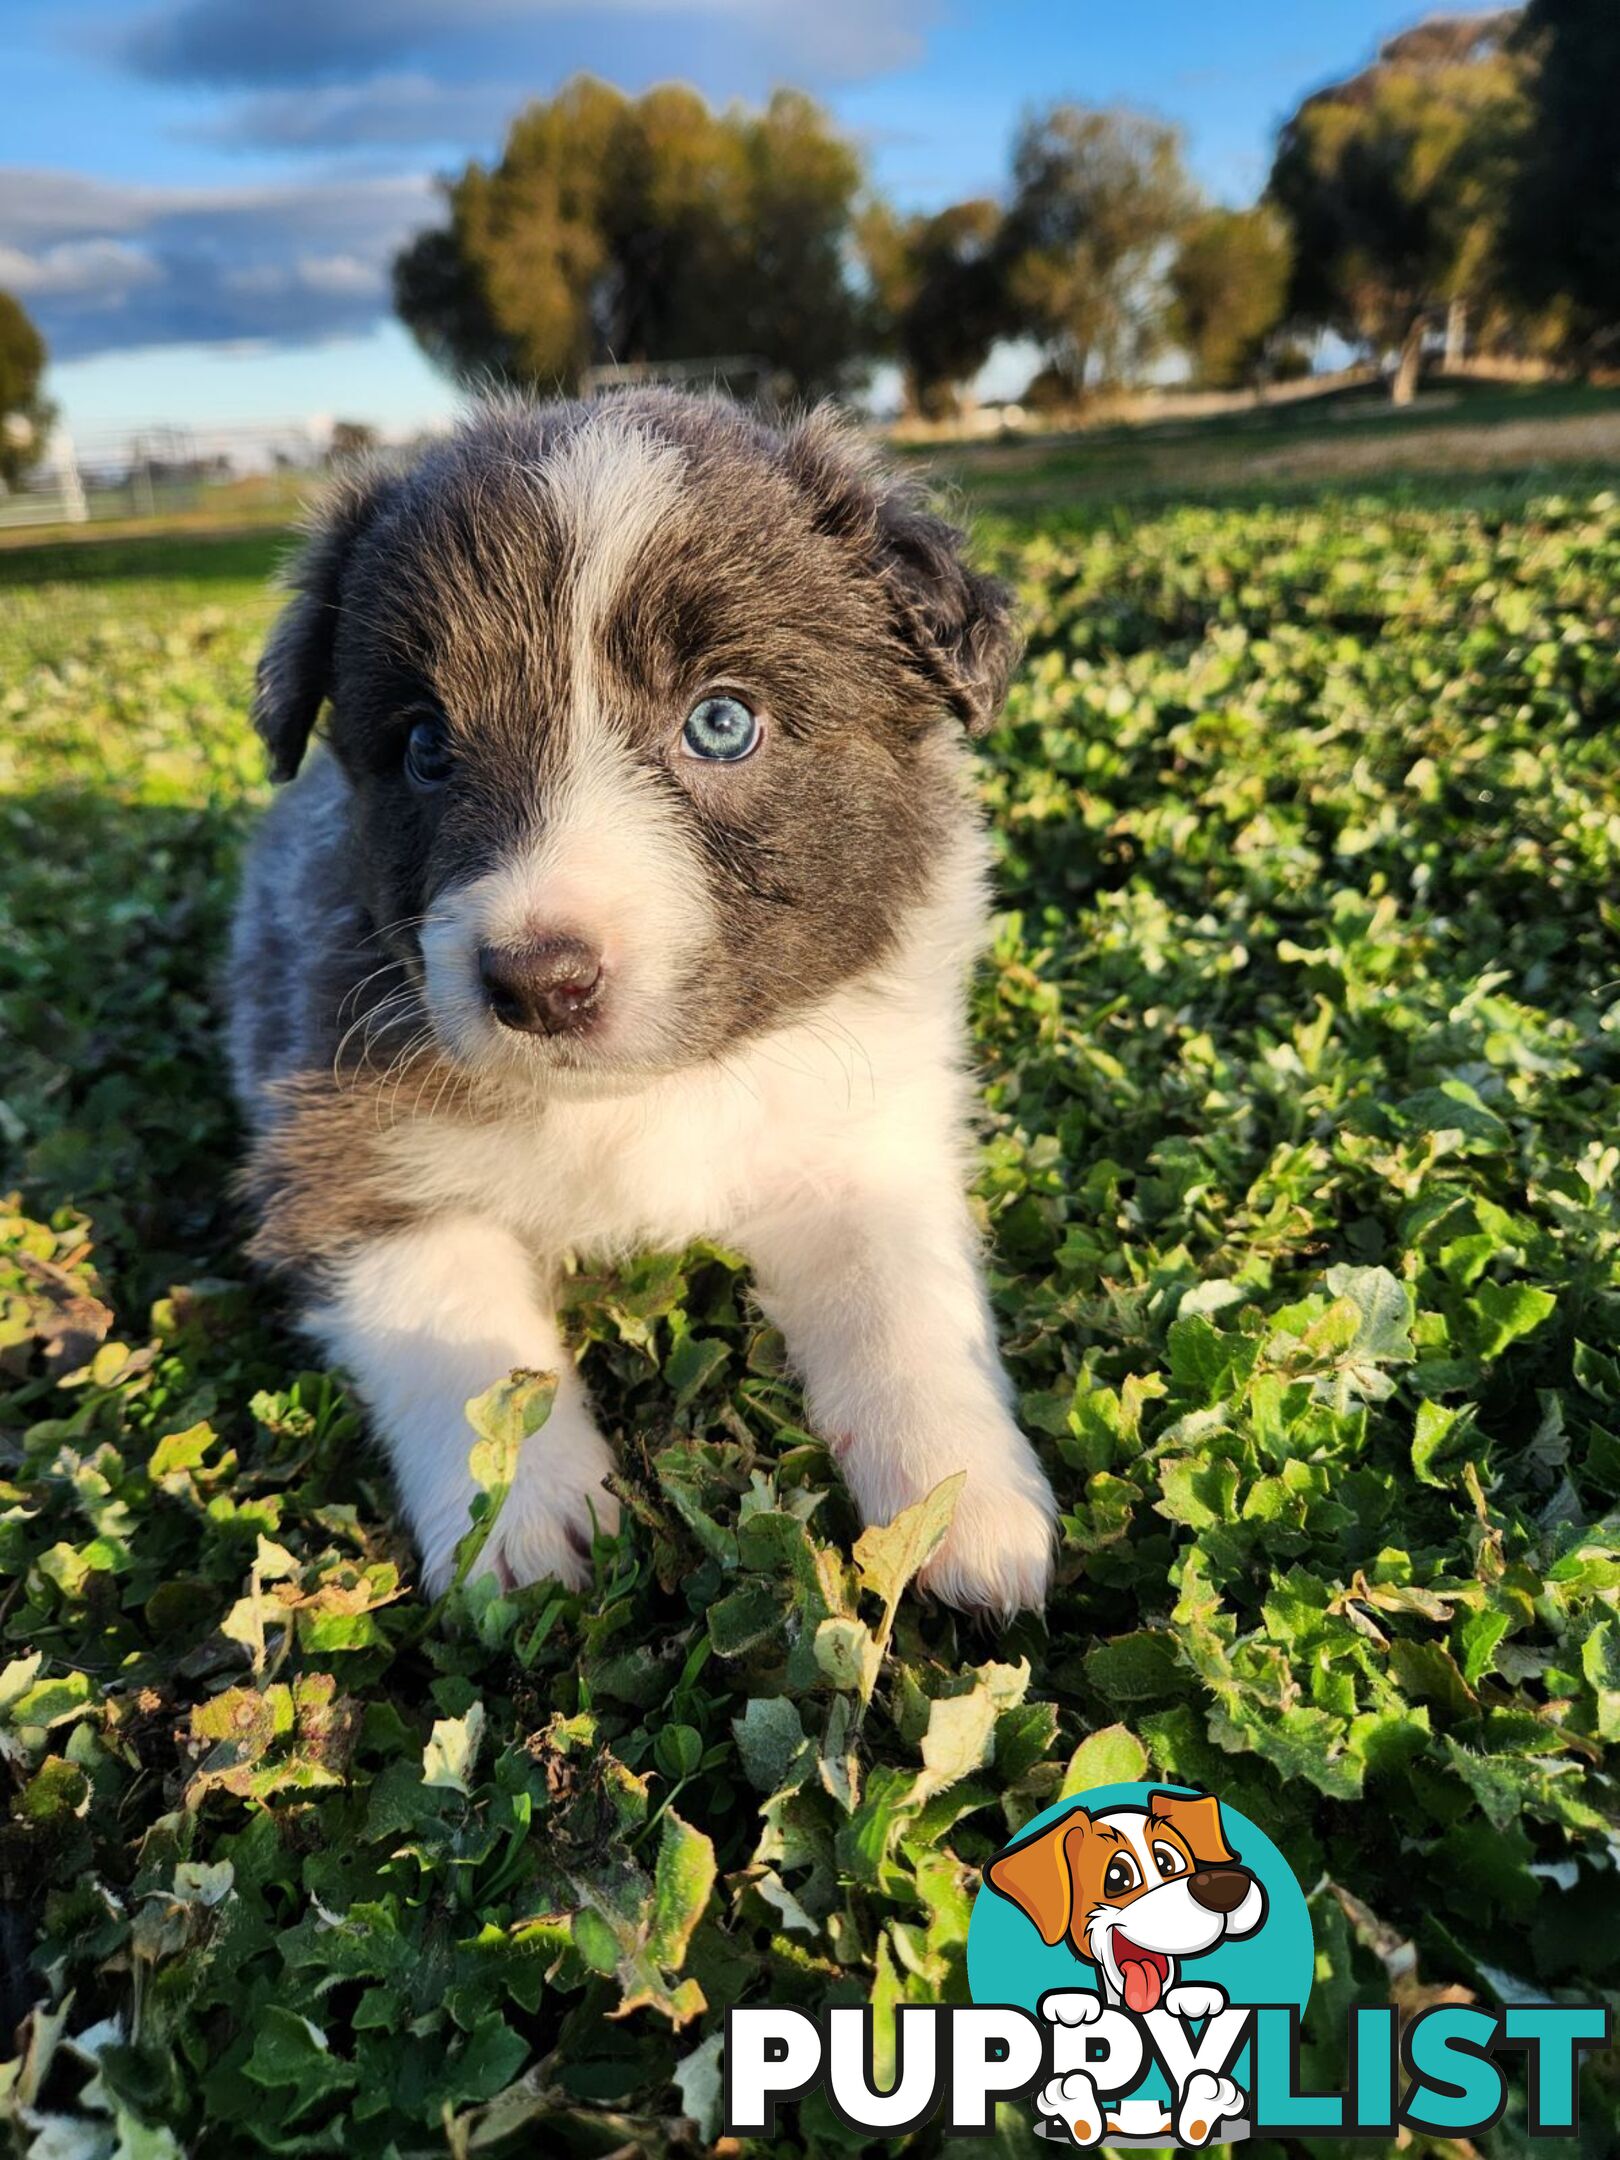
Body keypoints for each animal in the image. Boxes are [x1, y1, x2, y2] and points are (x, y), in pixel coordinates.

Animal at [234, 397, 1058, 1615]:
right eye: (425, 743)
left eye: (721, 724)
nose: (538, 981)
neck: (637, 1096)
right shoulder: (344, 1147)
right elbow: (457, 1329)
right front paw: (522, 1517)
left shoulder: (866, 1132)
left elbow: (904, 1308)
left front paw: (962, 1502)